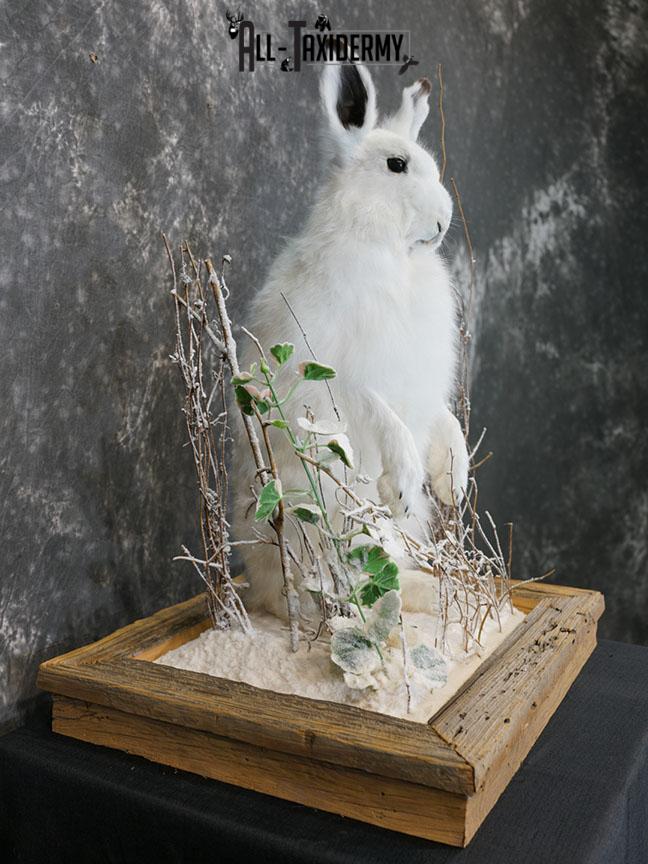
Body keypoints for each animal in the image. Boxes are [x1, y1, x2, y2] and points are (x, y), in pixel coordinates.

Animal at [231, 62, 469, 621]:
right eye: (397, 165)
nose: (443, 222)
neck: (392, 253)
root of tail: (264, 592)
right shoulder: (344, 371)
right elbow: (385, 416)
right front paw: (401, 484)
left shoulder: (425, 386)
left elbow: (443, 422)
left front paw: (454, 481)